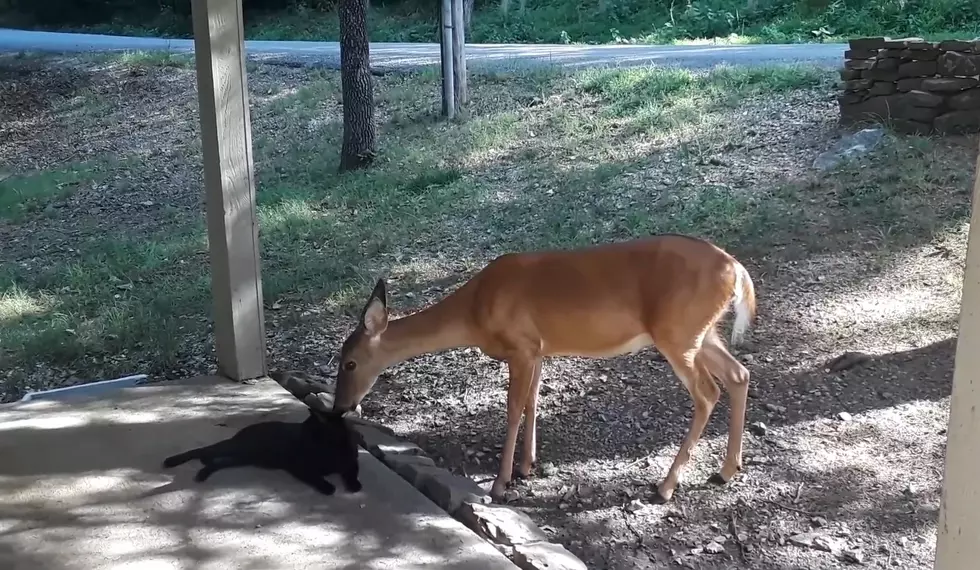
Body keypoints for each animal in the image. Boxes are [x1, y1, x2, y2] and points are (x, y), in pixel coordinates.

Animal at [165, 408, 364, 492]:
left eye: (307, 430)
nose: (299, 436)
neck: (330, 449)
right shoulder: (299, 467)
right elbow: (315, 477)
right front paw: (327, 487)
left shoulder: (351, 461)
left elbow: (352, 473)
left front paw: (355, 485)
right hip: (237, 449)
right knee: (202, 451)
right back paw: (171, 461)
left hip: (241, 457)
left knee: (216, 462)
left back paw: (202, 473)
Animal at [332, 233, 756, 504]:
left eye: (349, 362)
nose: (340, 407)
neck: (475, 311)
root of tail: (736, 269)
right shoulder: (538, 350)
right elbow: (533, 402)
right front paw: (526, 467)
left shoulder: (521, 347)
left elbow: (513, 409)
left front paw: (500, 484)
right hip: (701, 333)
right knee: (739, 375)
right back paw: (725, 470)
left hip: (678, 333)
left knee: (708, 392)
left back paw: (666, 486)